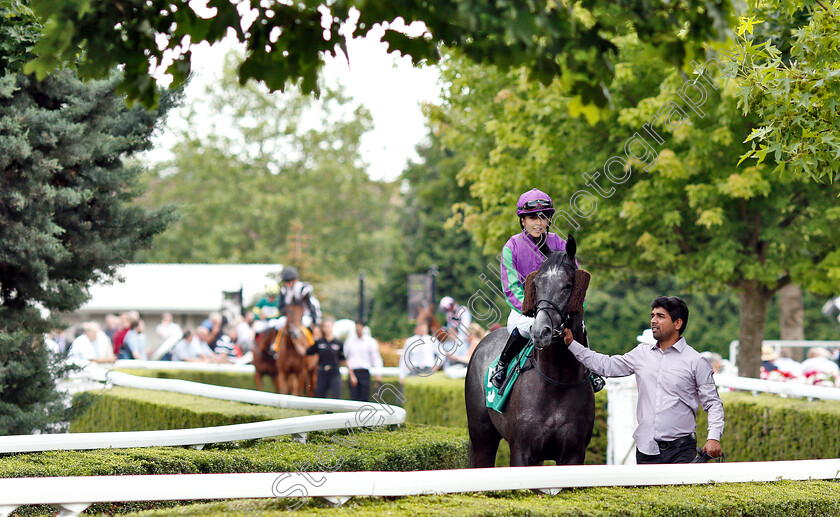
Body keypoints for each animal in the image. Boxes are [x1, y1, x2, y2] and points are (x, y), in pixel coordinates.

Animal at [462, 238, 592, 468]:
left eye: (568, 285)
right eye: (536, 285)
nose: (541, 331)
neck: (557, 382)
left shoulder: (574, 454)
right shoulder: (522, 452)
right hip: (482, 437)